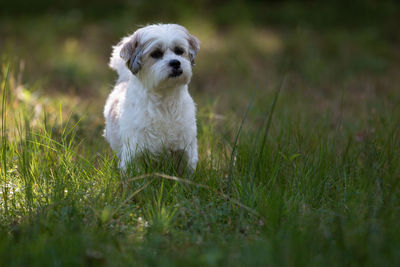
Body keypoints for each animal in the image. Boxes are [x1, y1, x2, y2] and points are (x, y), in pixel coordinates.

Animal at [103, 24, 200, 173]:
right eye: (156, 54)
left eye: (179, 51)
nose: (175, 62)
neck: (165, 101)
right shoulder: (135, 151)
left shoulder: (185, 147)